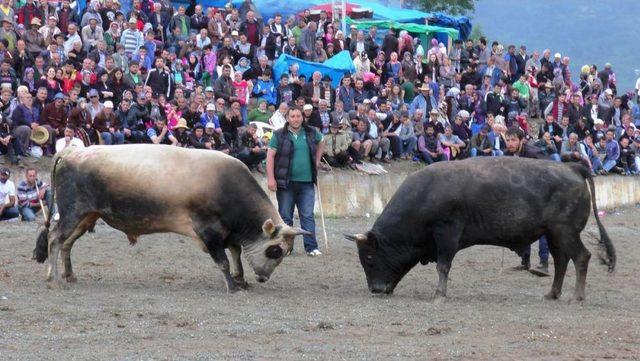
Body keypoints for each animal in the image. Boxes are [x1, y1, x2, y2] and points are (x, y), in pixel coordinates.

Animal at [348, 158, 616, 300]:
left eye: (369, 258)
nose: (375, 289)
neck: (424, 196)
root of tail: (573, 168)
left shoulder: (447, 235)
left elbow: (443, 266)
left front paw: (439, 294)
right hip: (553, 234)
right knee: (561, 261)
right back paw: (552, 294)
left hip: (566, 232)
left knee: (581, 257)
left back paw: (577, 297)